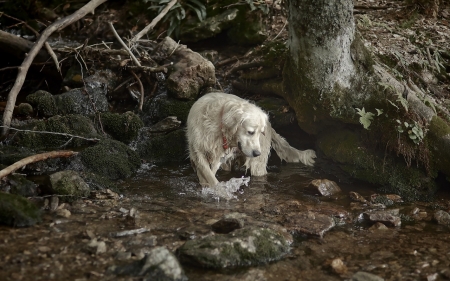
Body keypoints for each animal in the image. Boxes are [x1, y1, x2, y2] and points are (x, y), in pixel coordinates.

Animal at [186, 92, 316, 186]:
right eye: (250, 132)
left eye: (260, 133)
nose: (257, 153)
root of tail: (269, 125)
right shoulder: (197, 151)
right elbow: (207, 173)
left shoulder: (217, 156)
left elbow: (210, 174)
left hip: (258, 165)